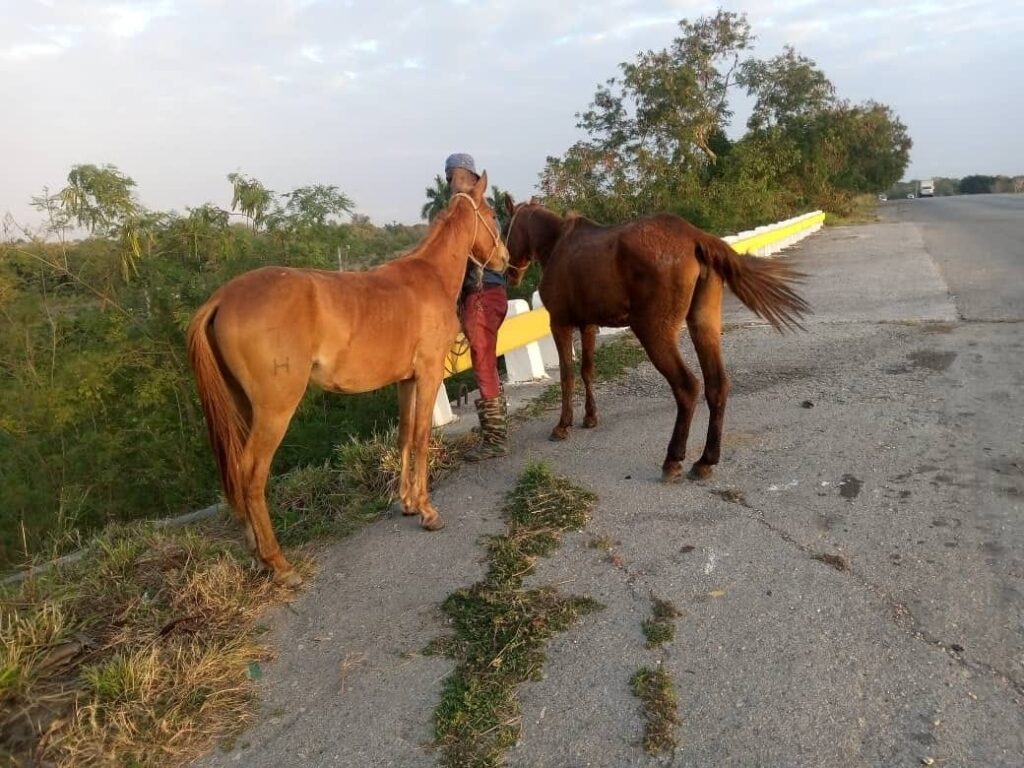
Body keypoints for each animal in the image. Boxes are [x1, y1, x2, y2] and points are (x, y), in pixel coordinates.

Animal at [187, 172, 507, 587]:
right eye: (492, 215)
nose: (505, 260)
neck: (430, 276)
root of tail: (222, 298)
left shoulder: (405, 380)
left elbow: (404, 436)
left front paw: (406, 503)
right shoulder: (429, 372)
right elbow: (422, 437)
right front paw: (427, 510)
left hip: (243, 406)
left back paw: (257, 557)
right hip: (275, 410)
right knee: (251, 474)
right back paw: (279, 564)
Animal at [503, 197, 810, 483]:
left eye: (506, 229)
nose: (509, 273)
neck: (558, 243)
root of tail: (695, 236)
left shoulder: (560, 324)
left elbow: (567, 375)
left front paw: (563, 425)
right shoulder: (588, 325)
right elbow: (588, 371)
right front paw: (590, 417)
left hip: (653, 332)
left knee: (687, 387)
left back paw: (673, 459)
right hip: (704, 325)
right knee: (717, 386)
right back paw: (705, 460)